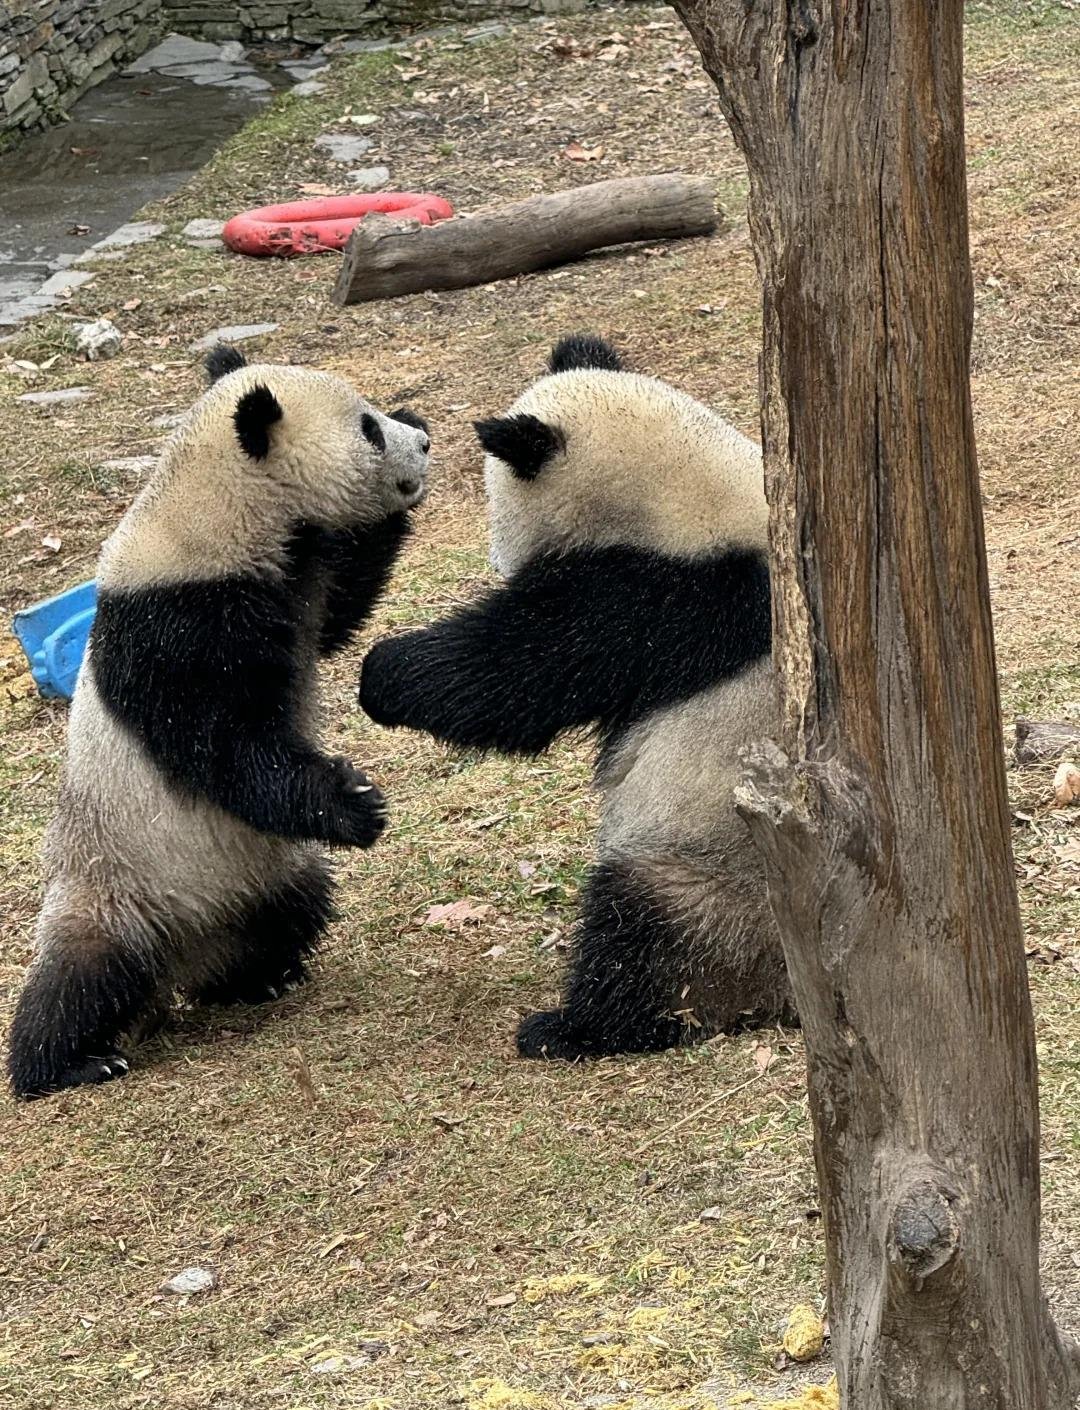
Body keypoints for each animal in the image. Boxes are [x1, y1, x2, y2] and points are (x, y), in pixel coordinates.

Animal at [8, 345, 431, 1099]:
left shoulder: (294, 579)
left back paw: (260, 977)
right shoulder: (175, 623)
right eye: (367, 429)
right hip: (115, 886)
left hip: (268, 873)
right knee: (80, 977)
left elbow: (339, 612)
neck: (213, 507)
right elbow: (223, 746)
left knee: (295, 905)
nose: (424, 441)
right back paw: (66, 1063)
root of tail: (181, 960)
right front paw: (355, 801)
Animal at [359, 333, 793, 1061]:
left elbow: (516, 673)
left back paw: (573, 1028)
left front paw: (381, 675)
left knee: (647, 938)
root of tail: (786, 992)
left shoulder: (657, 602)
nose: (495, 562)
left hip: (711, 877)